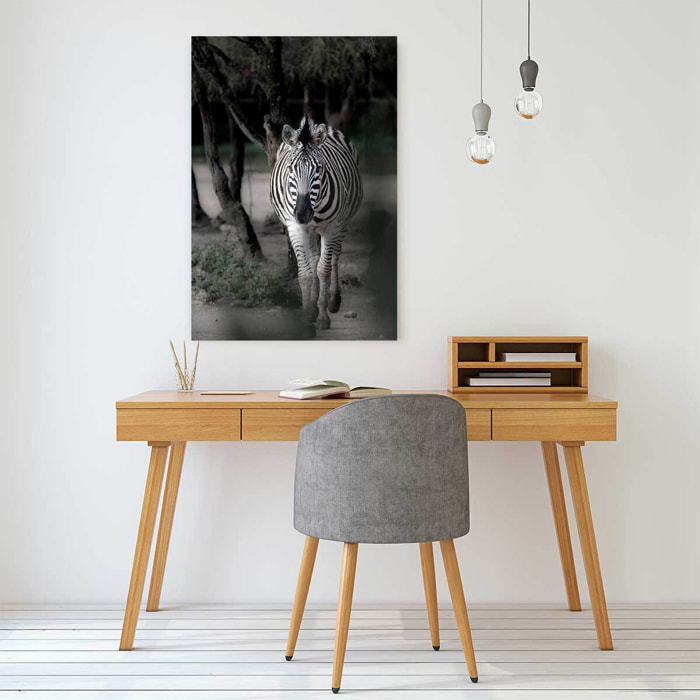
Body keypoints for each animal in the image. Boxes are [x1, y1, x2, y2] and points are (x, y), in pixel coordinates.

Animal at [270, 116, 362, 331]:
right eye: (290, 169)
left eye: (319, 169)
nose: (303, 213)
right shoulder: (295, 227)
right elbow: (305, 273)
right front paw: (307, 317)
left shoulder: (332, 228)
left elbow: (323, 270)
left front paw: (323, 317)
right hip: (310, 230)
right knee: (313, 259)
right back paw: (313, 308)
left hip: (342, 222)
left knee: (335, 257)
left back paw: (333, 301)